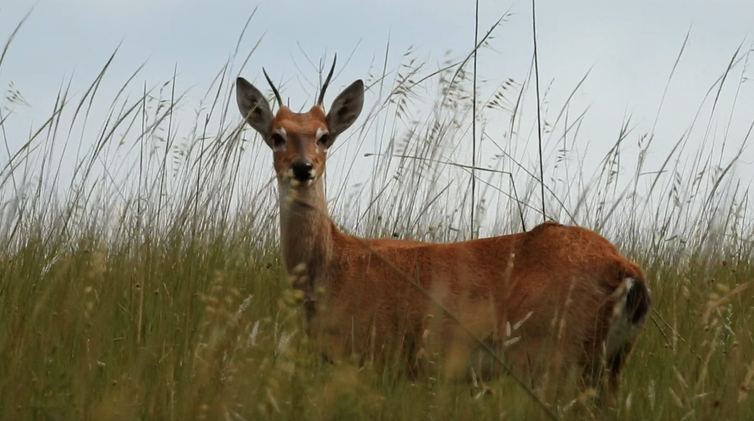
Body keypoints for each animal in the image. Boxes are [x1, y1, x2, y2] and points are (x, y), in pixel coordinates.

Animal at [236, 58, 652, 398]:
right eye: (276, 136)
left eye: (324, 136)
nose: (303, 166)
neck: (330, 267)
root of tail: (627, 270)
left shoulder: (372, 355)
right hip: (607, 366)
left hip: (551, 354)